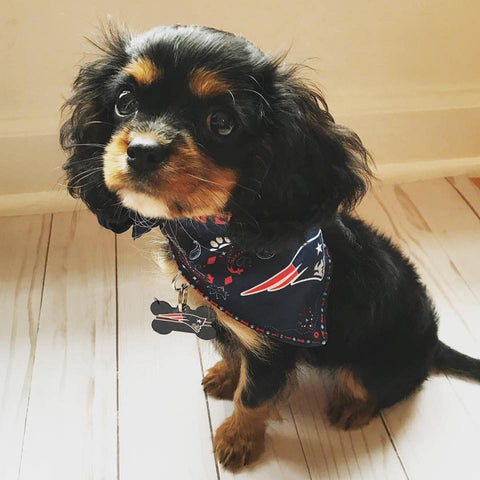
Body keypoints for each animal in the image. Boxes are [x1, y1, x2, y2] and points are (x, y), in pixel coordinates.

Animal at [62, 24, 480, 470]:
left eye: (222, 123)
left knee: (383, 389)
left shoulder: (272, 346)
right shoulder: (226, 318)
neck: (216, 240)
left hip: (372, 363)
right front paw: (226, 375)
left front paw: (238, 440)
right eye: (125, 102)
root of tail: (433, 342)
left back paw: (353, 408)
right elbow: (232, 353)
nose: (141, 151)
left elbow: (253, 396)